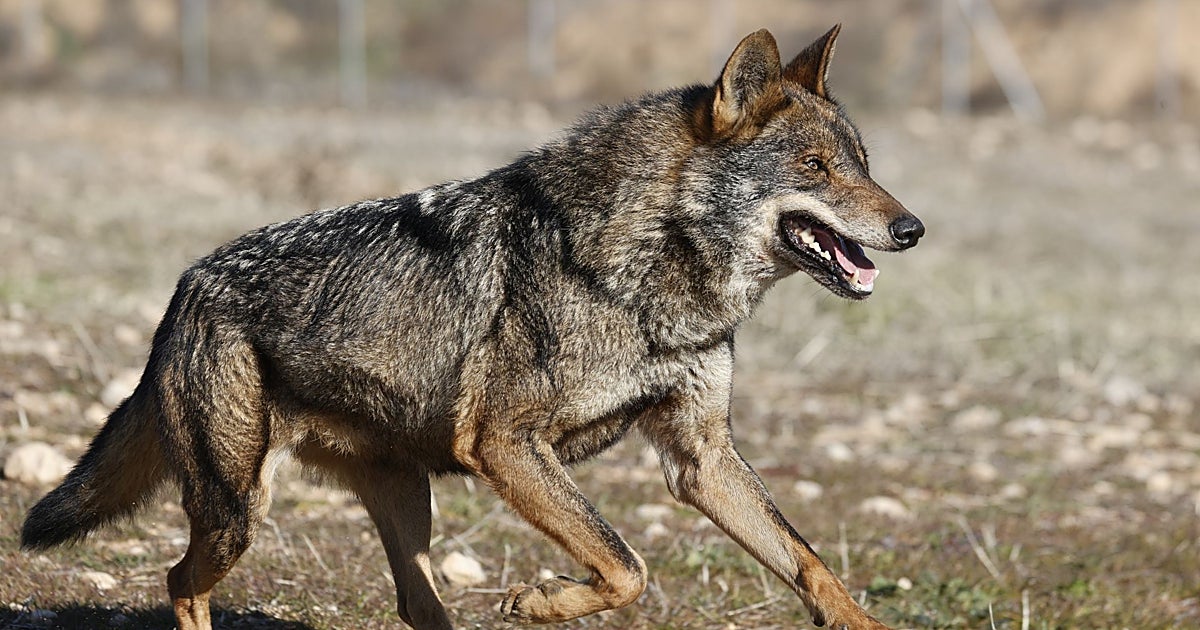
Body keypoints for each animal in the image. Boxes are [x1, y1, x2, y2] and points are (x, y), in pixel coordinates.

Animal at [22, 26, 922, 630]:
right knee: (178, 582)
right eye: (815, 168)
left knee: (413, 608)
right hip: (237, 512)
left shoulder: (699, 457)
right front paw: (543, 600)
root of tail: (186, 285)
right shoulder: (505, 445)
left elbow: (809, 563)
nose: (912, 229)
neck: (652, 276)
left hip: (402, 507)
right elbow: (626, 566)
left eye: (863, 163)